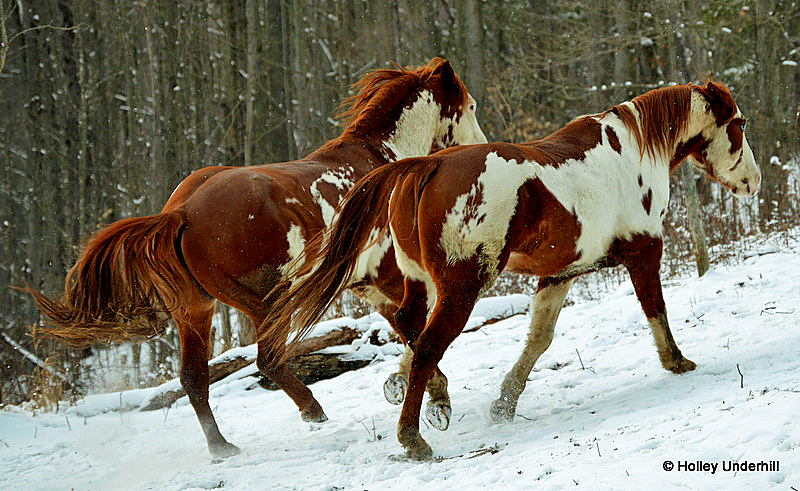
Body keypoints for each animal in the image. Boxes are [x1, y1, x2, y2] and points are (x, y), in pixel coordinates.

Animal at [25, 58, 488, 462]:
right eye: (470, 105)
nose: (481, 147)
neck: (380, 161)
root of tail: (183, 212)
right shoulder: (391, 276)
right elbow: (417, 332)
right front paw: (437, 400)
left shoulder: (366, 285)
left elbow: (407, 332)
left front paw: (405, 386)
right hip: (265, 301)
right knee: (267, 358)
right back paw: (311, 409)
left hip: (195, 310)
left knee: (194, 377)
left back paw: (222, 447)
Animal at [264, 81, 764, 462]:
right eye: (738, 125)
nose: (753, 182)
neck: (633, 151)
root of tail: (426, 163)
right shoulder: (644, 251)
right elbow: (655, 309)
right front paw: (677, 362)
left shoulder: (562, 273)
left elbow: (539, 338)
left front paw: (504, 402)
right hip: (463, 287)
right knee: (427, 345)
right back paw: (414, 438)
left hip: (420, 282)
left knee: (408, 326)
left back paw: (434, 401)